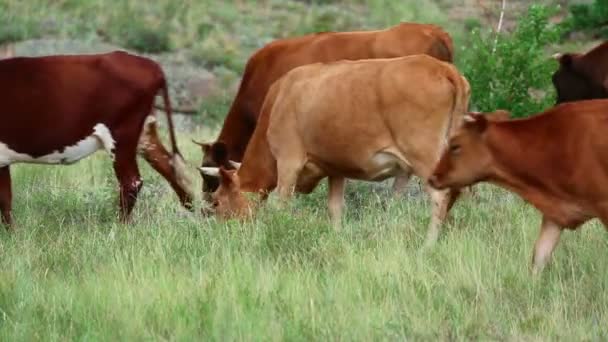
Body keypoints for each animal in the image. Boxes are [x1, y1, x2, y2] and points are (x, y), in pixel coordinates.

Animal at [0, 50, 194, 227]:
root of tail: (151, 65)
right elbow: (5, 198)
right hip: (144, 135)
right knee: (169, 167)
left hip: (121, 134)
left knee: (132, 181)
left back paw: (119, 228)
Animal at [200, 54, 470, 244]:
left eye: (217, 202)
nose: (223, 235)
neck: (280, 98)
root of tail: (442, 68)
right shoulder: (336, 169)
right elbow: (335, 209)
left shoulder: (288, 161)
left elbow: (281, 205)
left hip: (425, 156)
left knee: (441, 196)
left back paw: (429, 245)